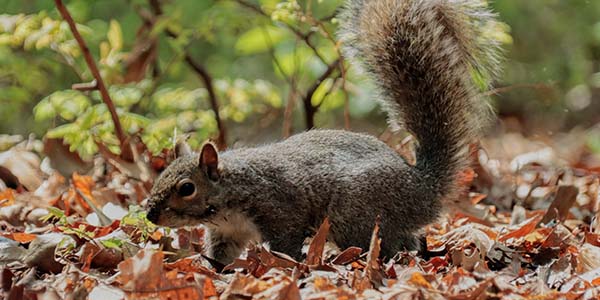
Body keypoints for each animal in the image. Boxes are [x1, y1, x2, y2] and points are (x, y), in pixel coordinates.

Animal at [144, 0, 502, 262]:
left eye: (186, 188)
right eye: (161, 176)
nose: (149, 214)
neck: (231, 193)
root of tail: (423, 187)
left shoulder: (281, 211)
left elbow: (286, 246)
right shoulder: (227, 233)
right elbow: (220, 257)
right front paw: (210, 269)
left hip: (355, 214)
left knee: (389, 244)